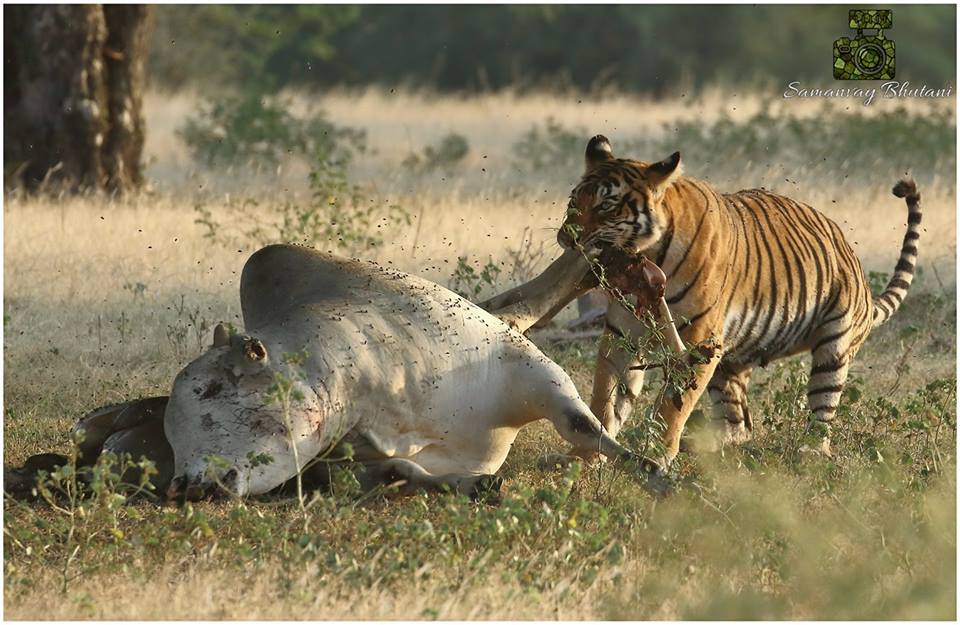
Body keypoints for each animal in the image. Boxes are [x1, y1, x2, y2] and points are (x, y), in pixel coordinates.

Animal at [556, 135, 924, 468]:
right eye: (573, 201)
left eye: (606, 205)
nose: (565, 238)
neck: (646, 255)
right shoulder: (623, 334)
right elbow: (604, 397)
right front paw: (586, 454)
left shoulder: (698, 341)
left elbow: (673, 404)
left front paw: (656, 454)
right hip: (731, 360)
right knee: (739, 424)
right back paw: (710, 447)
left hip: (833, 346)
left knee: (822, 408)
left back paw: (810, 452)